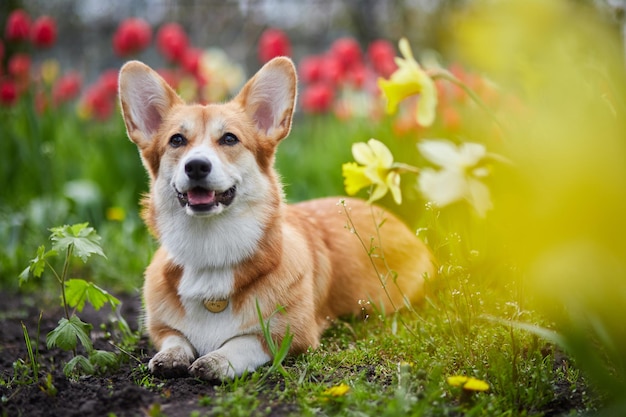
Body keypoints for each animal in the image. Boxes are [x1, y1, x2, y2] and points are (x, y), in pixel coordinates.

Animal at [116, 57, 428, 378]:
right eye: (177, 140)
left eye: (229, 138)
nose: (197, 166)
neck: (210, 251)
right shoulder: (161, 328)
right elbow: (175, 338)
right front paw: (171, 357)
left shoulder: (291, 334)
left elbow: (243, 341)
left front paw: (216, 360)